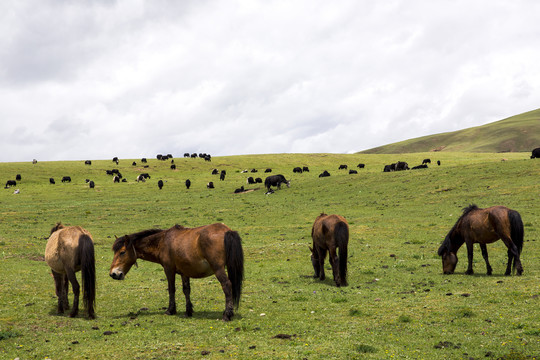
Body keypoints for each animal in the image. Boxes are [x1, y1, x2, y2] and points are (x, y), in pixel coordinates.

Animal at [109, 222, 245, 320]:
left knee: (227, 285)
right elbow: (186, 290)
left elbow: (171, 289)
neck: (163, 241)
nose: (113, 274)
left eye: (122, 252)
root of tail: (227, 231)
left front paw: (170, 310)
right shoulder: (184, 272)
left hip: (218, 269)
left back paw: (227, 314)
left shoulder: (169, 269)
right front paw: (188, 311)